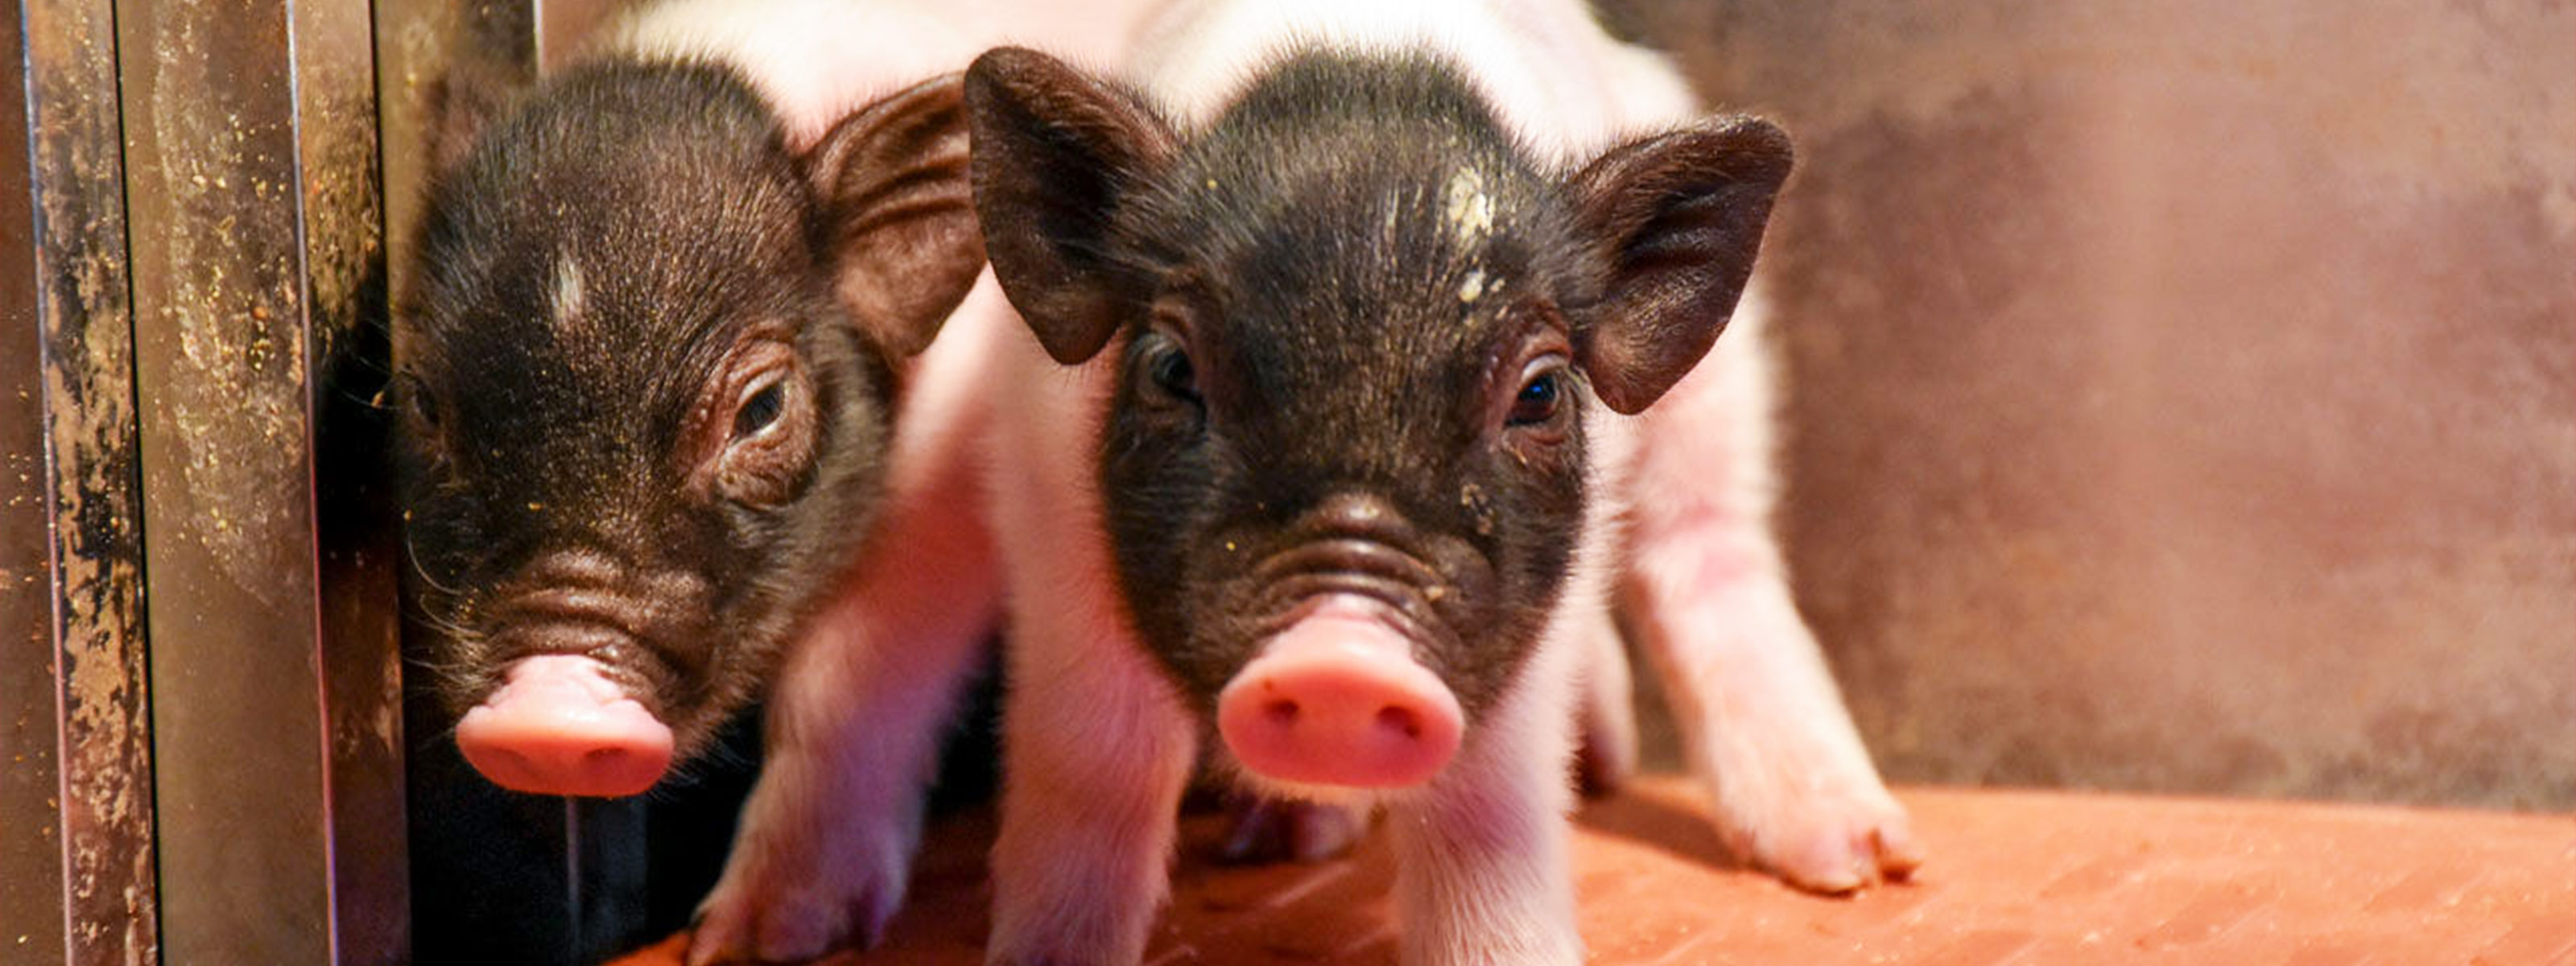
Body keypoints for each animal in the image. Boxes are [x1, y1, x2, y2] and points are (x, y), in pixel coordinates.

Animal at [393, 1, 1140, 961]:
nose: (547, 707)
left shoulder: (948, 478)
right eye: (423, 400)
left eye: (762, 408)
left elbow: (847, 674)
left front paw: (749, 939)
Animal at [959, 1, 1920, 962]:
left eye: (1537, 393)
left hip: (1718, 403)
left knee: (1711, 557)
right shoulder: (1046, 504)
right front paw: (1048, 947)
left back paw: (1858, 865)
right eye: (1170, 367)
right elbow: (1095, 764)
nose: (1340, 663)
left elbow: (1489, 819)